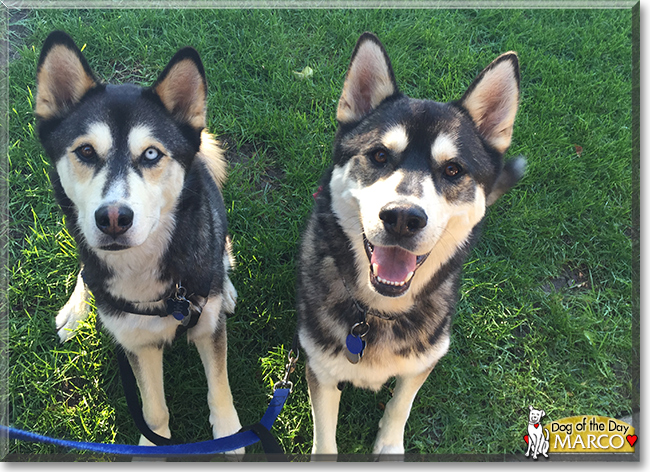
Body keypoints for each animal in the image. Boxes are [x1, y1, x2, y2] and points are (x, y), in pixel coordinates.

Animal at [296, 32, 524, 458]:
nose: (402, 217)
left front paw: (388, 444)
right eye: (379, 155)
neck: (379, 312)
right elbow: (325, 437)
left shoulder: (424, 360)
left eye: (453, 169)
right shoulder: (320, 367)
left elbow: (401, 402)